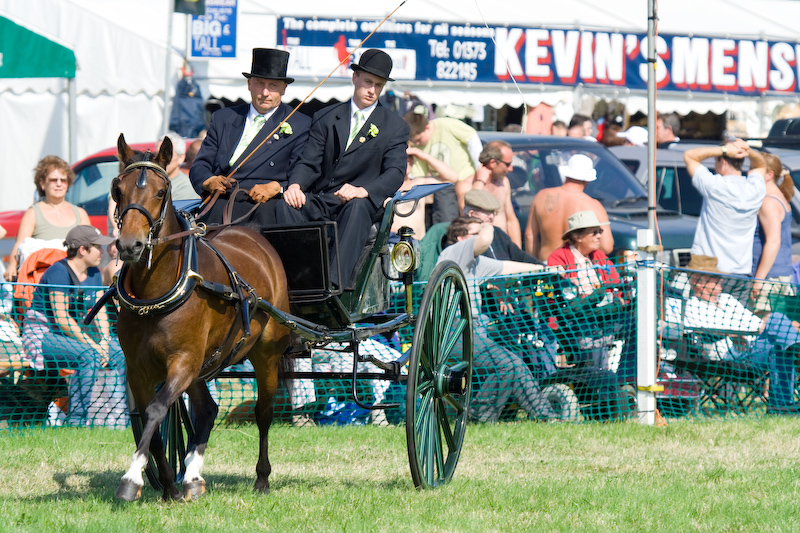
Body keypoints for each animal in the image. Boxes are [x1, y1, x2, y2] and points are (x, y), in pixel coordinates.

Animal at [109, 133, 290, 498]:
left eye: (161, 192)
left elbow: (157, 410)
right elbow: (151, 421)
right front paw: (168, 484)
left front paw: (132, 478)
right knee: (207, 409)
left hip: (265, 353)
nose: (130, 246)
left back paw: (262, 477)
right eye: (117, 190)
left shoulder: (183, 360)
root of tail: (251, 232)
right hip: (205, 361)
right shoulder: (139, 367)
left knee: (264, 412)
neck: (155, 291)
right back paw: (191, 477)